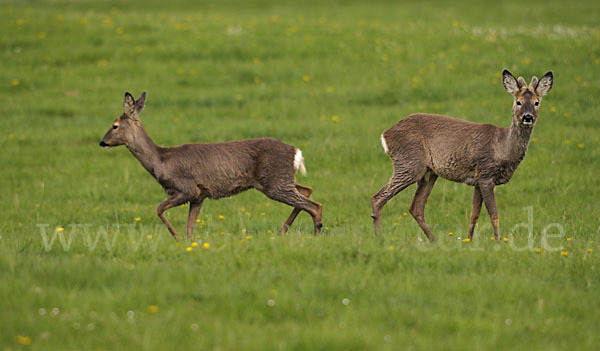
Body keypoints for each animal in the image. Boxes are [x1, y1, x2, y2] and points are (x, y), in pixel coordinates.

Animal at [99, 91, 324, 241]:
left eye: (114, 126)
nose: (102, 142)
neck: (160, 160)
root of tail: (296, 151)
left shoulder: (187, 188)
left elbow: (159, 209)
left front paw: (176, 237)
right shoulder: (199, 196)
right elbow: (190, 227)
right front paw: (187, 242)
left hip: (275, 182)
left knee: (314, 205)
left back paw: (316, 234)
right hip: (281, 179)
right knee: (307, 190)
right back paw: (283, 231)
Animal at [370, 70, 552, 243]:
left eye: (537, 102)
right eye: (518, 102)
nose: (527, 117)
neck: (502, 147)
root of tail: (385, 134)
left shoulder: (478, 180)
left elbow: (474, 214)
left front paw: (468, 241)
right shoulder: (485, 173)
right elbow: (494, 214)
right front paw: (499, 242)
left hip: (429, 173)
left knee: (416, 207)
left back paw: (435, 242)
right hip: (409, 164)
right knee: (378, 198)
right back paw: (379, 239)